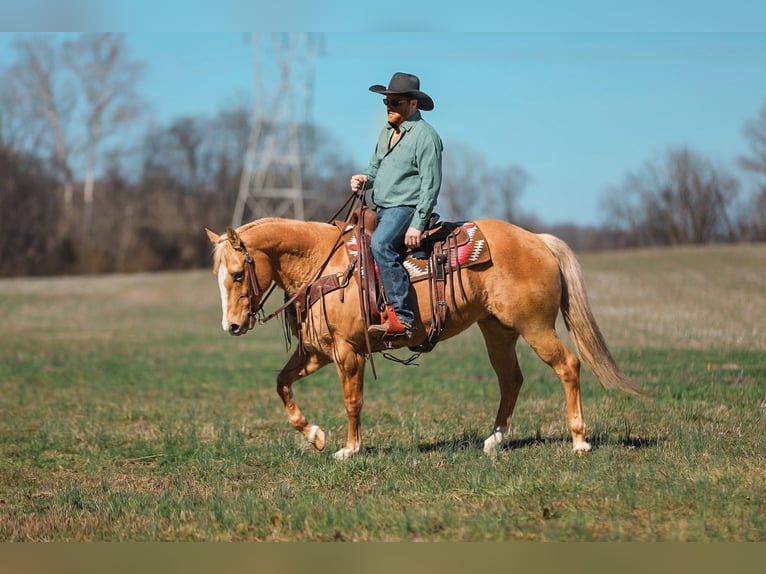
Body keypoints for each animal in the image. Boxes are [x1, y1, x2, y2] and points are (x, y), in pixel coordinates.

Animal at [205, 217, 642, 460]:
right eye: (217, 275)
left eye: (239, 274)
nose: (232, 327)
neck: (325, 266)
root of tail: (537, 239)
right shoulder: (316, 352)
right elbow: (281, 382)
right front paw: (314, 435)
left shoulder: (349, 353)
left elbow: (352, 401)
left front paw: (349, 449)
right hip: (497, 330)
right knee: (511, 380)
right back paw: (495, 440)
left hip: (535, 327)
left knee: (568, 366)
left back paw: (579, 441)